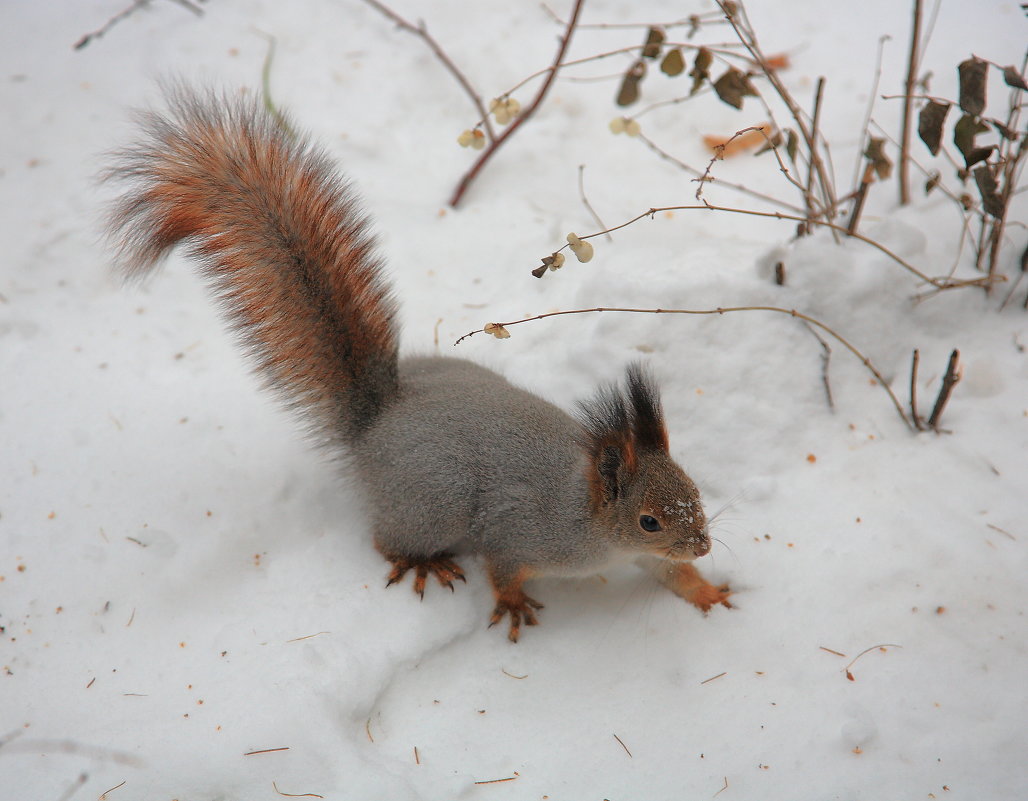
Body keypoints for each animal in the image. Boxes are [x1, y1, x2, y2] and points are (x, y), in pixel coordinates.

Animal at [104, 86, 731, 637]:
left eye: (695, 491)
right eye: (648, 519)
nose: (702, 543)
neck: (588, 515)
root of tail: (377, 419)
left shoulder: (644, 556)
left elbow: (670, 573)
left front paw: (710, 591)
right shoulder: (521, 535)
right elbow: (503, 570)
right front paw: (512, 603)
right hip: (435, 503)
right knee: (389, 540)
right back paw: (420, 561)